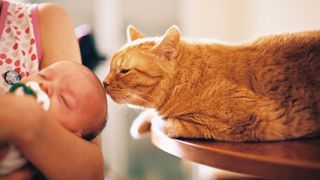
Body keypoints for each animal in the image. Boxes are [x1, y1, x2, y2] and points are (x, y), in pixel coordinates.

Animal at [104, 25, 318, 142]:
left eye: (124, 71)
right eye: (110, 68)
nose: (104, 82)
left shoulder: (246, 121)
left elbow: (164, 123)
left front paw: (154, 120)